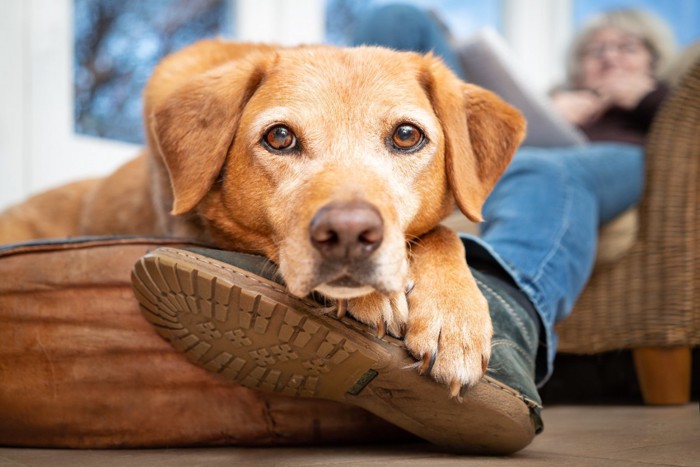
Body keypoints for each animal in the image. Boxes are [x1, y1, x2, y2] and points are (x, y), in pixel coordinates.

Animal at [0, 41, 524, 398]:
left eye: (407, 135)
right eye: (280, 137)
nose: (349, 234)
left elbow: (443, 231)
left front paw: (454, 317)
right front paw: (377, 298)